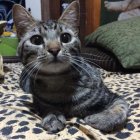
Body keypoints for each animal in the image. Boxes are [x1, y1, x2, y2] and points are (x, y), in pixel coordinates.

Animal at [12, 1, 129, 134]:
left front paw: (103, 119)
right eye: (36, 40)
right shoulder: (39, 102)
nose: (54, 49)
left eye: (65, 37)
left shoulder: (111, 96)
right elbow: (47, 108)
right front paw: (53, 116)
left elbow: (120, 106)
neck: (58, 83)